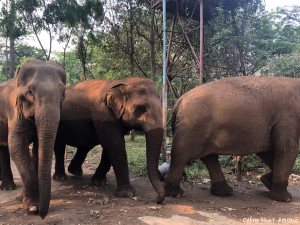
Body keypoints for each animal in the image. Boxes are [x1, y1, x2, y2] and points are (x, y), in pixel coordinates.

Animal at [0, 59, 66, 218]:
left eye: (63, 93)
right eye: (30, 92)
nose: (42, 215)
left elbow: (37, 148)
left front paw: (27, 200)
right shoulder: (14, 110)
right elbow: (16, 145)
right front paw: (32, 207)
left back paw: (8, 187)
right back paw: (7, 188)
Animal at [164, 77, 300, 202]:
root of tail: (179, 100)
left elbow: (267, 151)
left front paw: (266, 181)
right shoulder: (288, 116)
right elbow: (286, 149)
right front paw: (285, 198)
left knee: (209, 157)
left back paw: (224, 192)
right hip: (193, 126)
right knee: (181, 155)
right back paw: (175, 193)